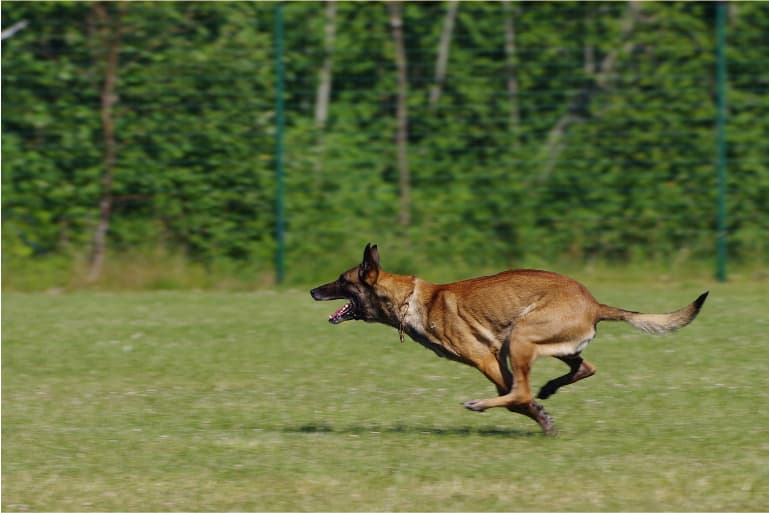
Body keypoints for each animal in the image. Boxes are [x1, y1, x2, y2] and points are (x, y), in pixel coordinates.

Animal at [308, 243, 704, 432]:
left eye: (342, 280)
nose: (312, 290)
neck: (412, 300)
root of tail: (594, 304)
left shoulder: (487, 358)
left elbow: (516, 397)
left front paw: (539, 417)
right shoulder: (499, 359)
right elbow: (517, 394)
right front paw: (542, 413)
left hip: (521, 337)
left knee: (525, 390)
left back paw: (484, 404)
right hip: (548, 345)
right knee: (584, 366)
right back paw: (549, 390)